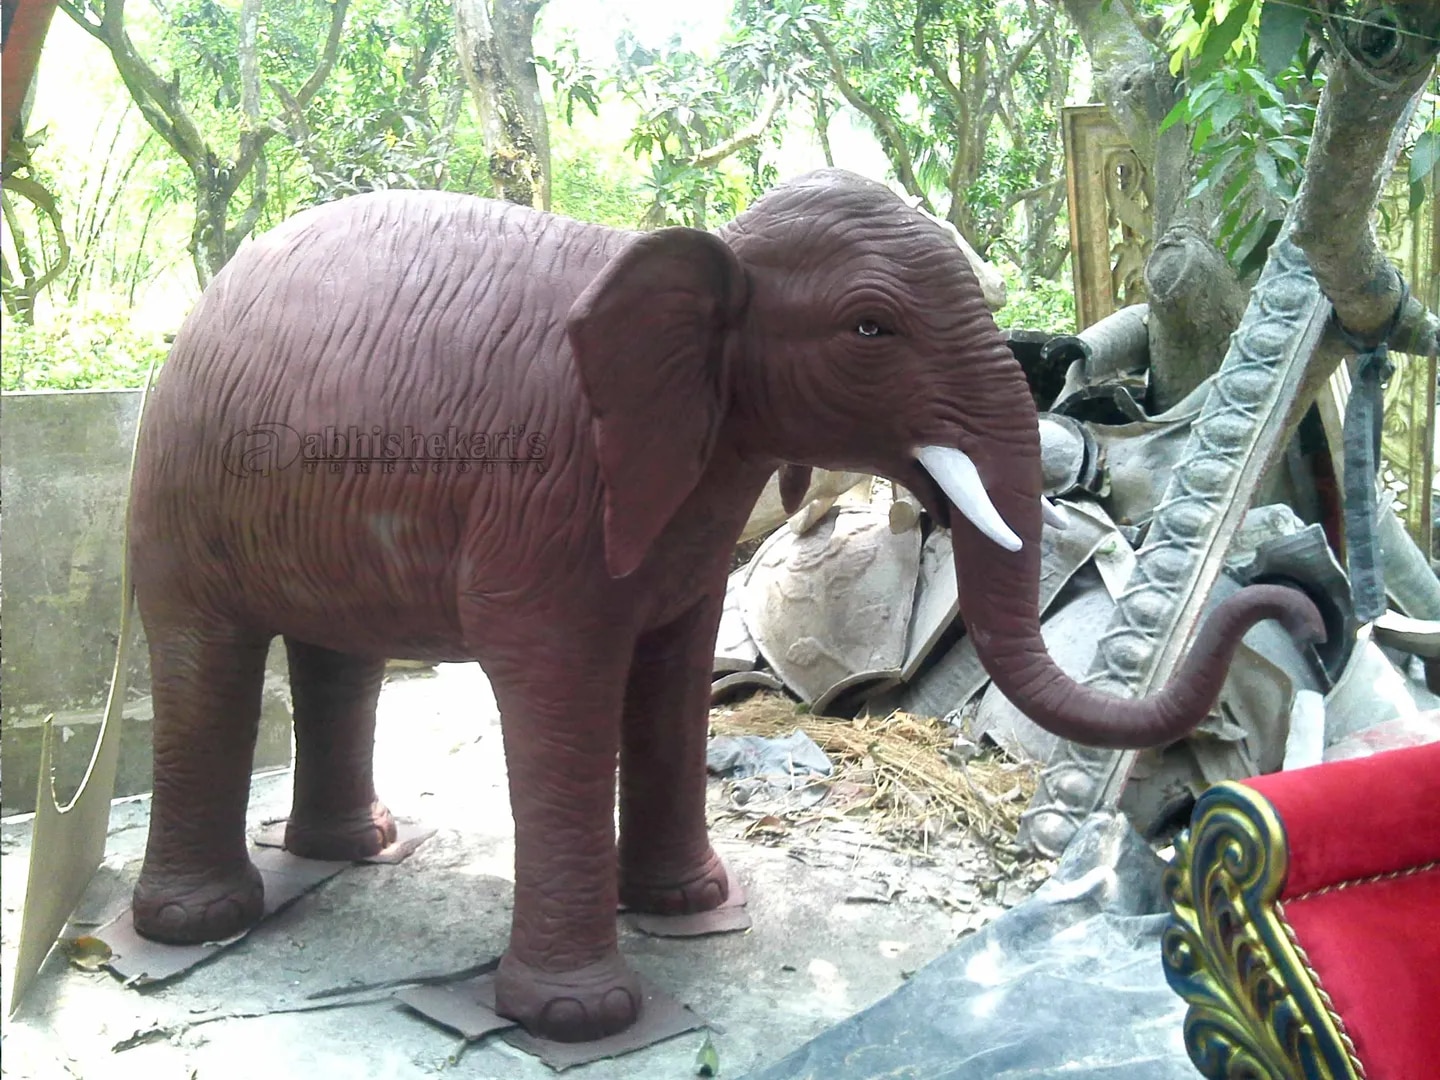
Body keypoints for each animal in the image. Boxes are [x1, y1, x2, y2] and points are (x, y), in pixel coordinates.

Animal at [126, 168, 1323, 1042]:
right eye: (871, 329)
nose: (1309, 615)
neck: (711, 247)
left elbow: (675, 663)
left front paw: (690, 909)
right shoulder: (546, 492)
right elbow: (556, 679)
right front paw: (584, 1017)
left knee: (339, 652)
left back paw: (353, 850)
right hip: (178, 480)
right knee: (203, 651)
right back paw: (198, 922)